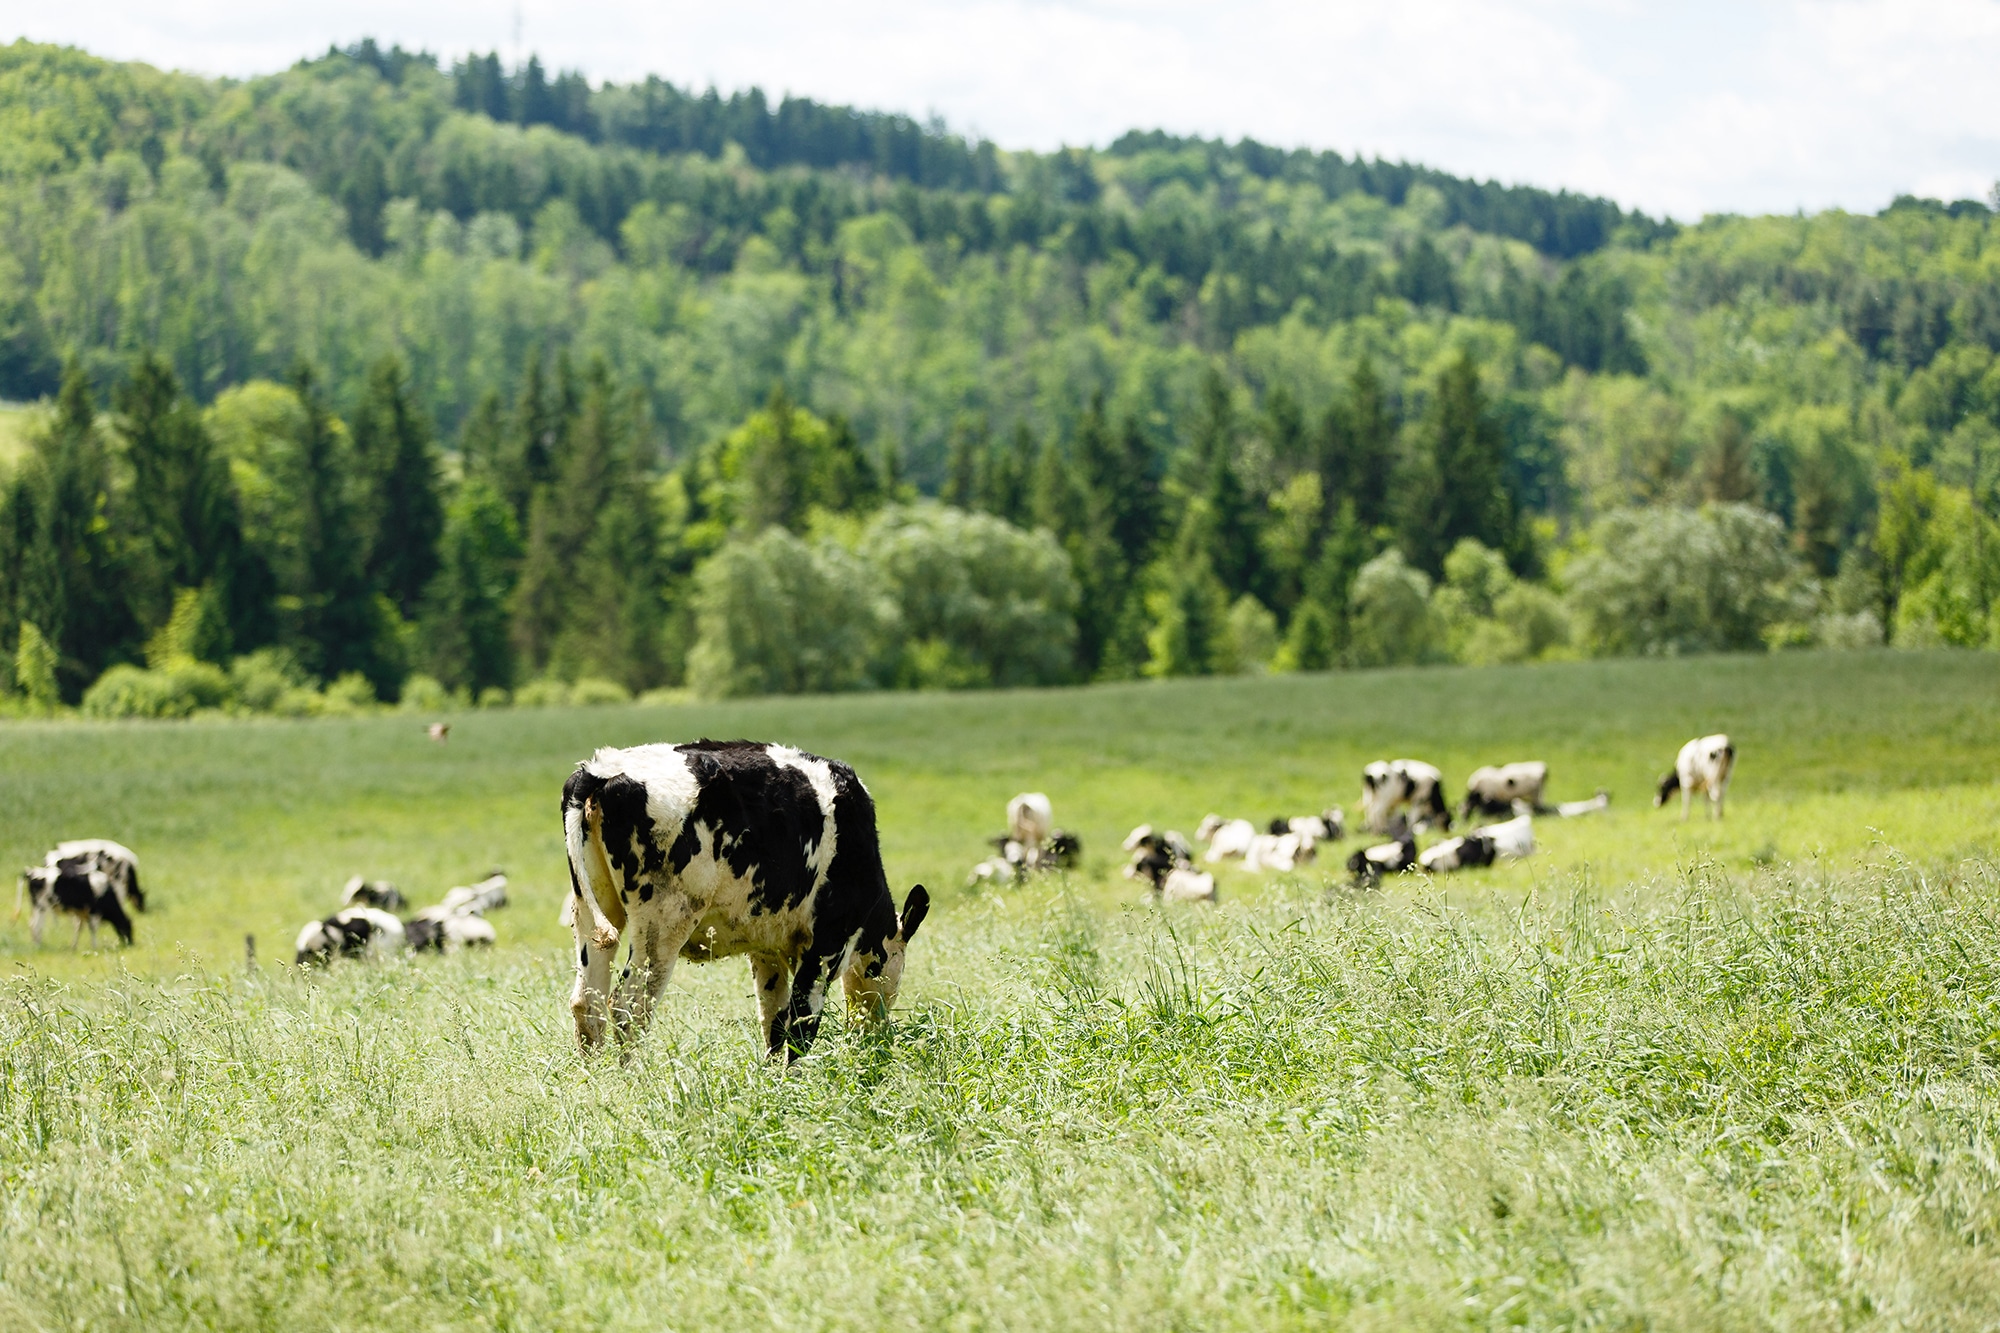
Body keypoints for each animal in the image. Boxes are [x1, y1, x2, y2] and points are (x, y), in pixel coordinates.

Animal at [564, 732, 928, 1056]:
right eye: (887, 969)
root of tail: (602, 769)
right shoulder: (826, 944)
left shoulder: (767, 948)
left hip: (594, 908)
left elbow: (774, 1023)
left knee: (588, 1003)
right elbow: (802, 1025)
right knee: (628, 1008)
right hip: (664, 922)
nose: (877, 1034)